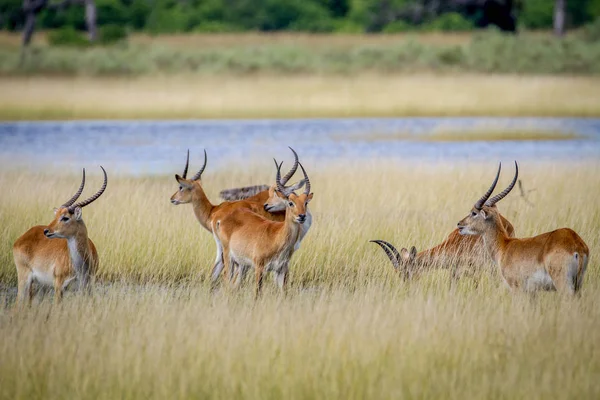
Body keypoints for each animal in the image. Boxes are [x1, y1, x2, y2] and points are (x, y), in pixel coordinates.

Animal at [13, 167, 108, 304]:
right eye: (56, 215)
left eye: (65, 217)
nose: (46, 231)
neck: (80, 267)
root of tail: (22, 238)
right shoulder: (59, 286)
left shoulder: (86, 288)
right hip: (24, 279)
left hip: (40, 286)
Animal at [214, 159, 312, 296]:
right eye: (290, 203)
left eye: (306, 202)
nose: (301, 216)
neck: (277, 236)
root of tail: (221, 217)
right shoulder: (259, 267)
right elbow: (258, 294)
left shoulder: (281, 270)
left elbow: (284, 294)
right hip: (229, 259)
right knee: (227, 281)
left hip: (240, 264)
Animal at [460, 161, 592, 296]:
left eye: (474, 213)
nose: (459, 224)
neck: (504, 246)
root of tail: (576, 243)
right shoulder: (532, 292)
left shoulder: (517, 289)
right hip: (578, 285)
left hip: (564, 285)